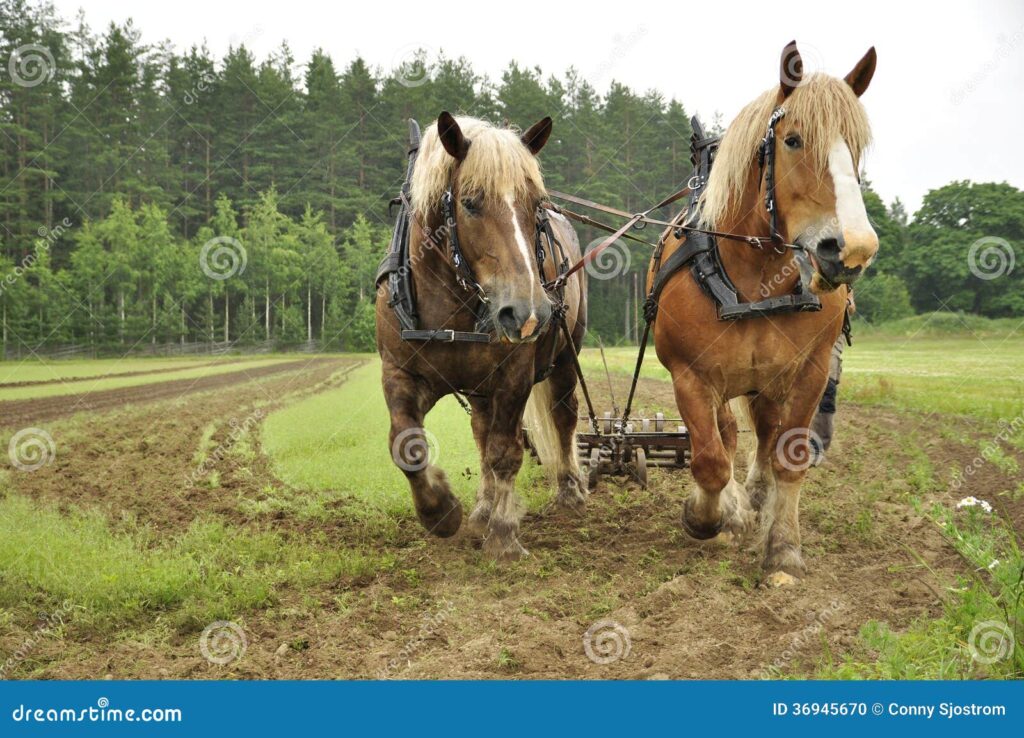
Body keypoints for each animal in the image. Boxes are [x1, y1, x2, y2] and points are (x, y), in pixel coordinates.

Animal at [376, 111, 589, 556]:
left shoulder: (515, 375)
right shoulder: (399, 372)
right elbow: (407, 445)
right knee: (481, 429)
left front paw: (504, 534)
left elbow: (505, 451)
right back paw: (483, 507)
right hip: (478, 386)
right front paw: (441, 512)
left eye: (535, 205)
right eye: (470, 202)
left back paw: (569, 491)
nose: (527, 312)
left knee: (563, 414)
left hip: (565, 354)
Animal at [647, 41, 880, 585]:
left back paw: (756, 497)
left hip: (769, 379)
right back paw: (733, 509)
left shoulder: (810, 370)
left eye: (857, 147)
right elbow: (710, 459)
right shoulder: (690, 376)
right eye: (793, 140)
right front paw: (707, 517)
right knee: (728, 437)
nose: (853, 249)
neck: (756, 281)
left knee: (766, 433)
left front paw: (783, 549)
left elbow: (788, 456)